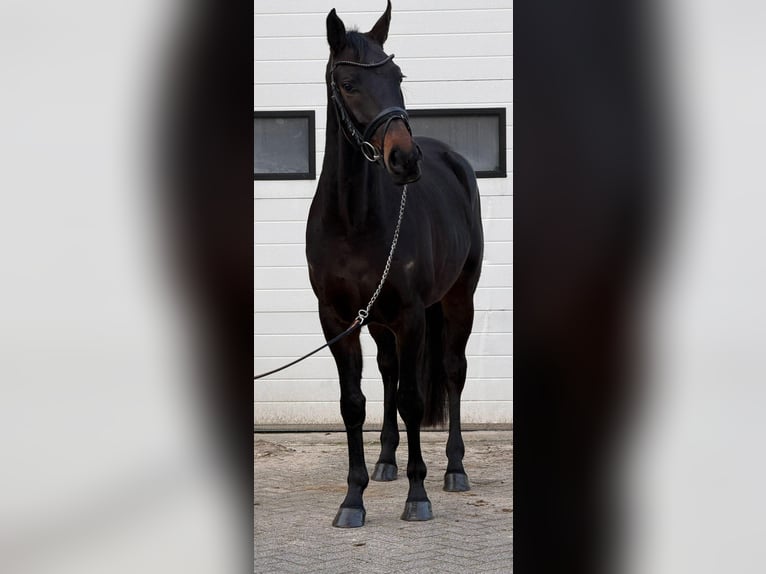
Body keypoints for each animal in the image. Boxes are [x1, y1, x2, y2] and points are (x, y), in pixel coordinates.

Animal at [305, 1, 484, 528]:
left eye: (397, 75)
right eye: (348, 83)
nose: (405, 160)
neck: (353, 219)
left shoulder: (411, 316)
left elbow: (413, 399)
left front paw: (418, 495)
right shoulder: (337, 319)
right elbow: (353, 403)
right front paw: (353, 499)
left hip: (458, 300)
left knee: (451, 371)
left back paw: (454, 469)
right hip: (379, 322)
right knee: (387, 372)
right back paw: (386, 461)